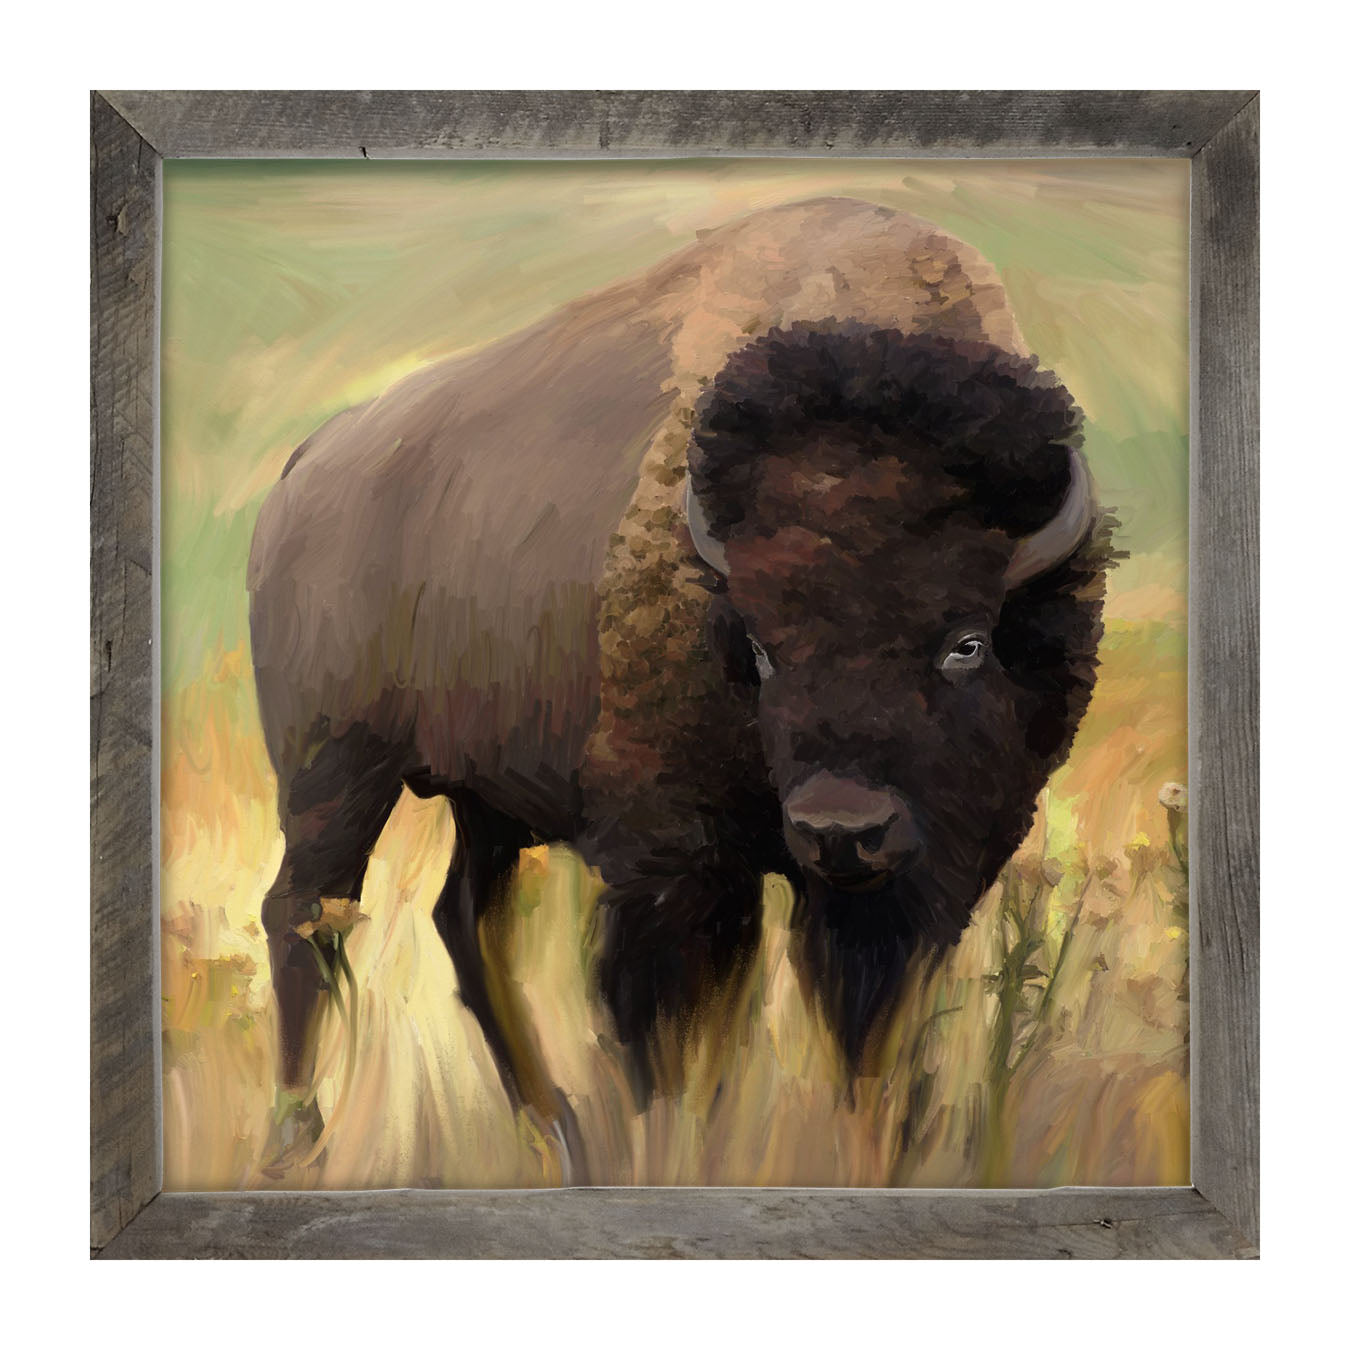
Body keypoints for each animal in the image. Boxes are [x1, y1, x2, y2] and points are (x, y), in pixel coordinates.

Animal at [248, 196, 1109, 1177]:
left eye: (966, 642)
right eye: (762, 647)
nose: (840, 830)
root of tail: (309, 466)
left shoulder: (909, 886)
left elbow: (861, 1043)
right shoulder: (675, 870)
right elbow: (668, 1042)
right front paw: (672, 1150)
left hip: (484, 800)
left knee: (464, 921)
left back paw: (554, 1133)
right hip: (335, 770)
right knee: (305, 919)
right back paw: (298, 1142)